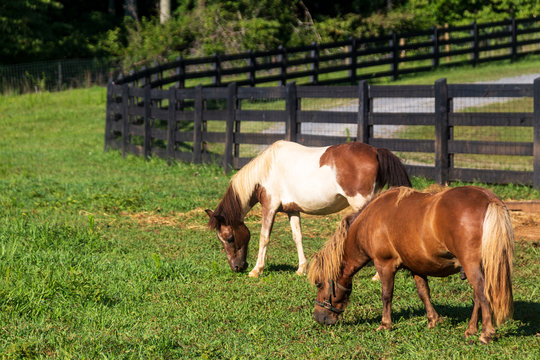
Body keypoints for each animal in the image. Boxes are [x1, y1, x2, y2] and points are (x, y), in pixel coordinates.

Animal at [206, 139, 410, 278]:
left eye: (229, 238)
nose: (237, 267)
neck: (267, 169)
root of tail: (375, 151)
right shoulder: (292, 210)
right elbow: (297, 237)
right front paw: (301, 268)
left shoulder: (269, 207)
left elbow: (264, 238)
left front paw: (257, 270)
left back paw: (377, 276)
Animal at [308, 186, 516, 344]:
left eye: (319, 284)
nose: (318, 318)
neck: (370, 221)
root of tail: (489, 199)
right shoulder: (417, 267)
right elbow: (423, 293)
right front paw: (432, 320)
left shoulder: (384, 265)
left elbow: (386, 295)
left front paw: (385, 324)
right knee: (477, 297)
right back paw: (471, 329)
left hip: (472, 266)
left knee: (482, 293)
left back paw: (485, 333)